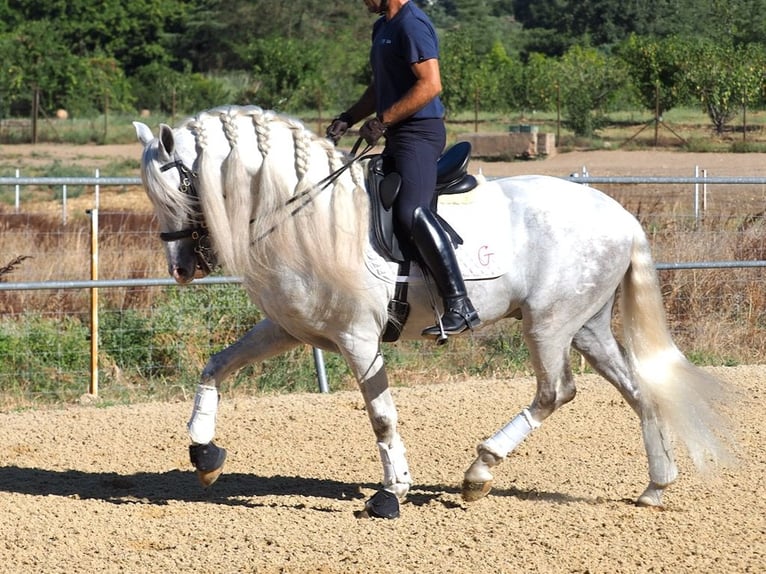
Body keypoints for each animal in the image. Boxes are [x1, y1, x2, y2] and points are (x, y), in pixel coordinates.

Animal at [135, 106, 740, 520]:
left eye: (180, 188)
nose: (182, 268)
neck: (305, 214)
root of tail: (621, 215)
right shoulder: (288, 329)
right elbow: (216, 366)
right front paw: (204, 453)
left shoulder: (358, 340)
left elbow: (382, 416)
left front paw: (390, 495)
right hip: (586, 327)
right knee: (637, 391)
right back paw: (656, 487)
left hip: (548, 324)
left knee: (556, 392)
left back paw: (479, 472)